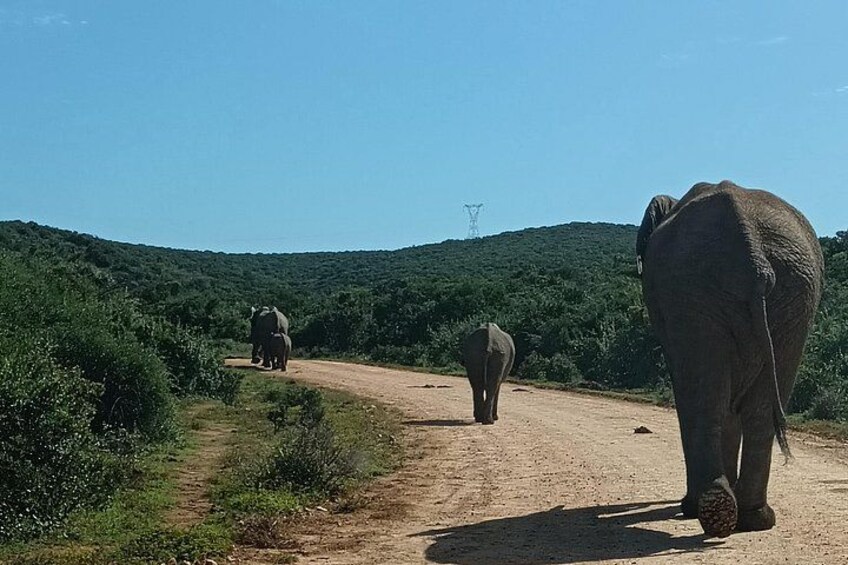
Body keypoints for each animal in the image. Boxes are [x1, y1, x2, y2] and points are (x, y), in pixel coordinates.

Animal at [637, 180, 823, 538]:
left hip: (704, 288)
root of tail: (752, 253)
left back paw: (713, 510)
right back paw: (745, 516)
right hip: (789, 294)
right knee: (750, 406)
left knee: (706, 398)